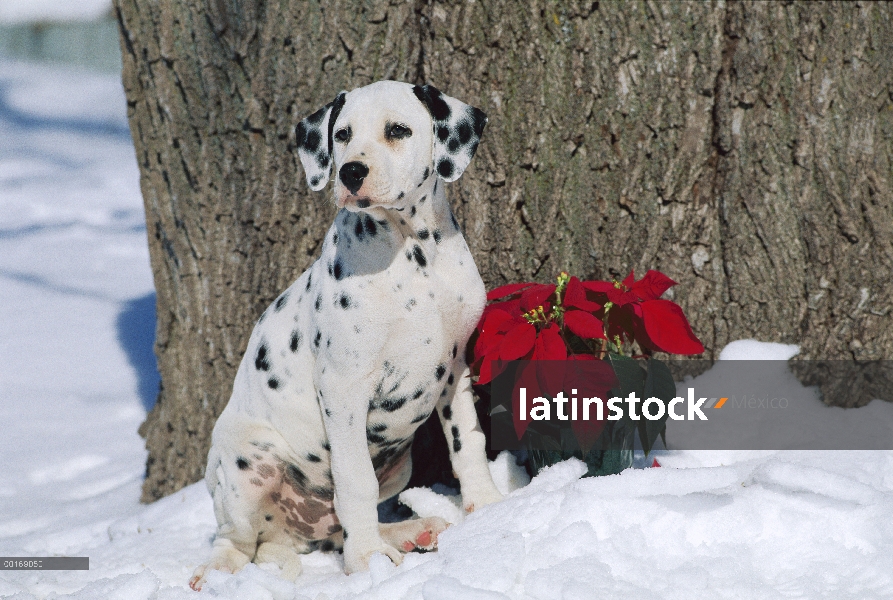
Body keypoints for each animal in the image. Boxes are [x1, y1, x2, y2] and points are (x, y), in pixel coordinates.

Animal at [189, 81, 506, 592]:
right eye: (341, 134)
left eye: (398, 130)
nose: (352, 172)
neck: (411, 252)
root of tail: (292, 533)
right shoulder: (345, 387)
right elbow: (356, 481)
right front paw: (367, 562)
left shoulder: (456, 368)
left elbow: (468, 443)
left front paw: (489, 506)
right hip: (248, 462)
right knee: (235, 540)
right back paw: (218, 573)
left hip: (399, 466)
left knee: (340, 526)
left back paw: (409, 530)